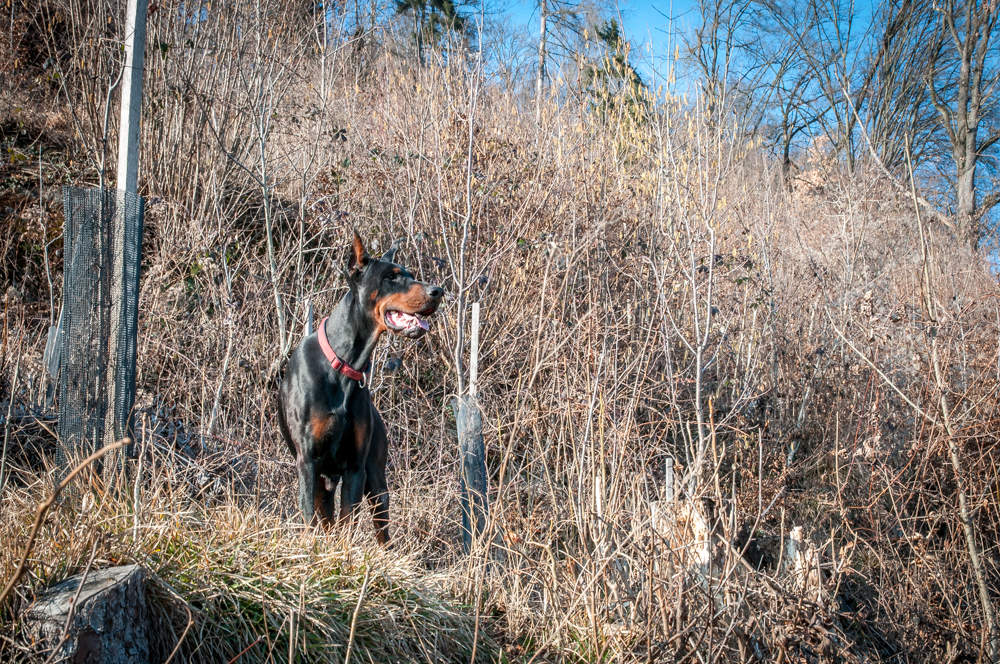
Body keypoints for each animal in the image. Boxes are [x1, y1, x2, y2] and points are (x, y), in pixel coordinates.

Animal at [276, 230, 444, 544]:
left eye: (410, 275)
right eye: (391, 277)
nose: (437, 291)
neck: (344, 364)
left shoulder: (355, 468)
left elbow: (347, 524)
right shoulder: (308, 462)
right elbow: (311, 520)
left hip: (377, 482)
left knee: (382, 532)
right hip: (323, 482)